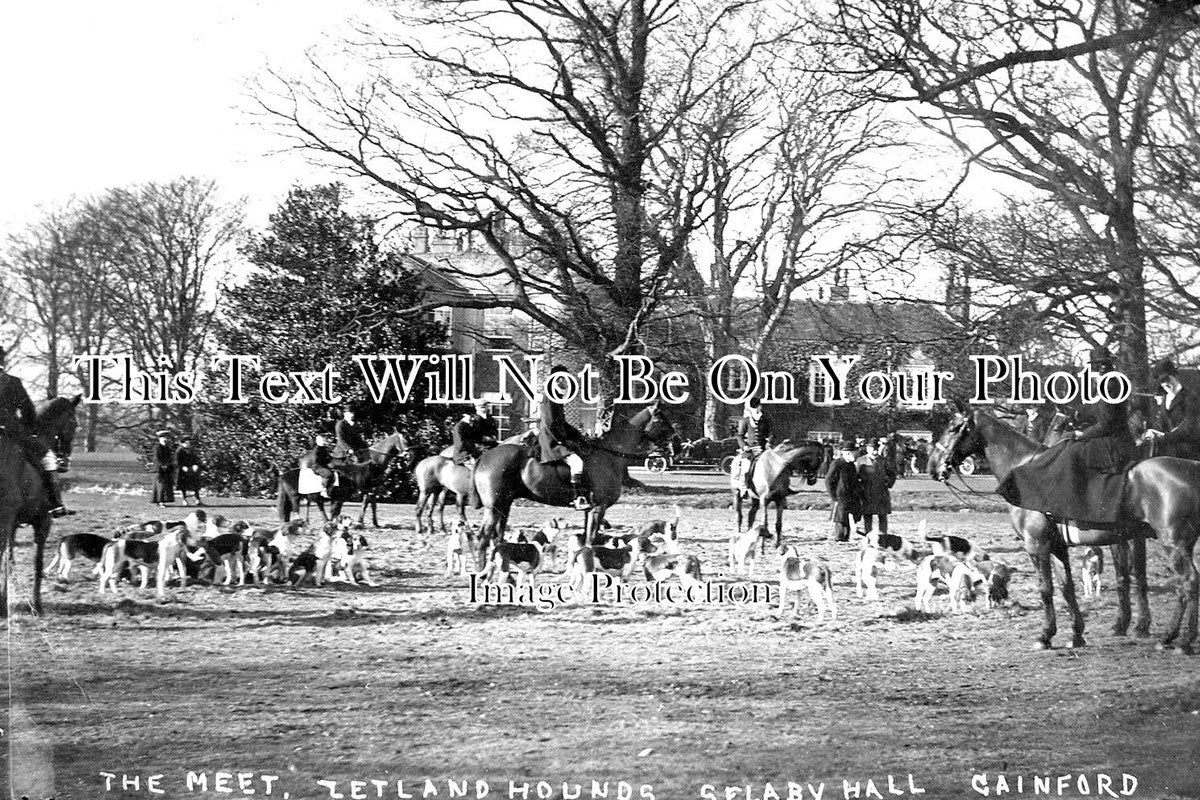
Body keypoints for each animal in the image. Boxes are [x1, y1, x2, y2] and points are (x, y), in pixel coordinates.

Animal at [0, 398, 81, 618]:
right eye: (74, 423)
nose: (64, 462)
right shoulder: (44, 521)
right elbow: (37, 562)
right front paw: (37, 605)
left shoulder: (13, 525)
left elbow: (10, 560)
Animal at [278, 434, 410, 527]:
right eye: (403, 441)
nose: (407, 454)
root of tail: (284, 475)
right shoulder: (360, 491)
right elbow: (365, 504)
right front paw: (361, 522)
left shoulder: (367, 489)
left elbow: (367, 504)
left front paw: (372, 522)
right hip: (295, 496)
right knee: (299, 507)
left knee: (311, 505)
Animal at [465, 407, 676, 568]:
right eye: (661, 418)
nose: (678, 443)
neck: (609, 455)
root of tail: (486, 455)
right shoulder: (598, 508)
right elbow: (591, 539)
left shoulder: (589, 510)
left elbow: (587, 538)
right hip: (494, 507)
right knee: (483, 536)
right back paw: (481, 570)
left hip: (504, 505)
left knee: (497, 536)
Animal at [926, 410, 1200, 652]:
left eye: (954, 428)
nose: (932, 466)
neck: (1023, 468)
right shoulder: (1057, 547)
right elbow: (1066, 587)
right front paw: (1076, 634)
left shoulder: (1037, 546)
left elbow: (1046, 588)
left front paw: (1045, 636)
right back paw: (1167, 636)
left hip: (1173, 544)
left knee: (1189, 582)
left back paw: (1181, 641)